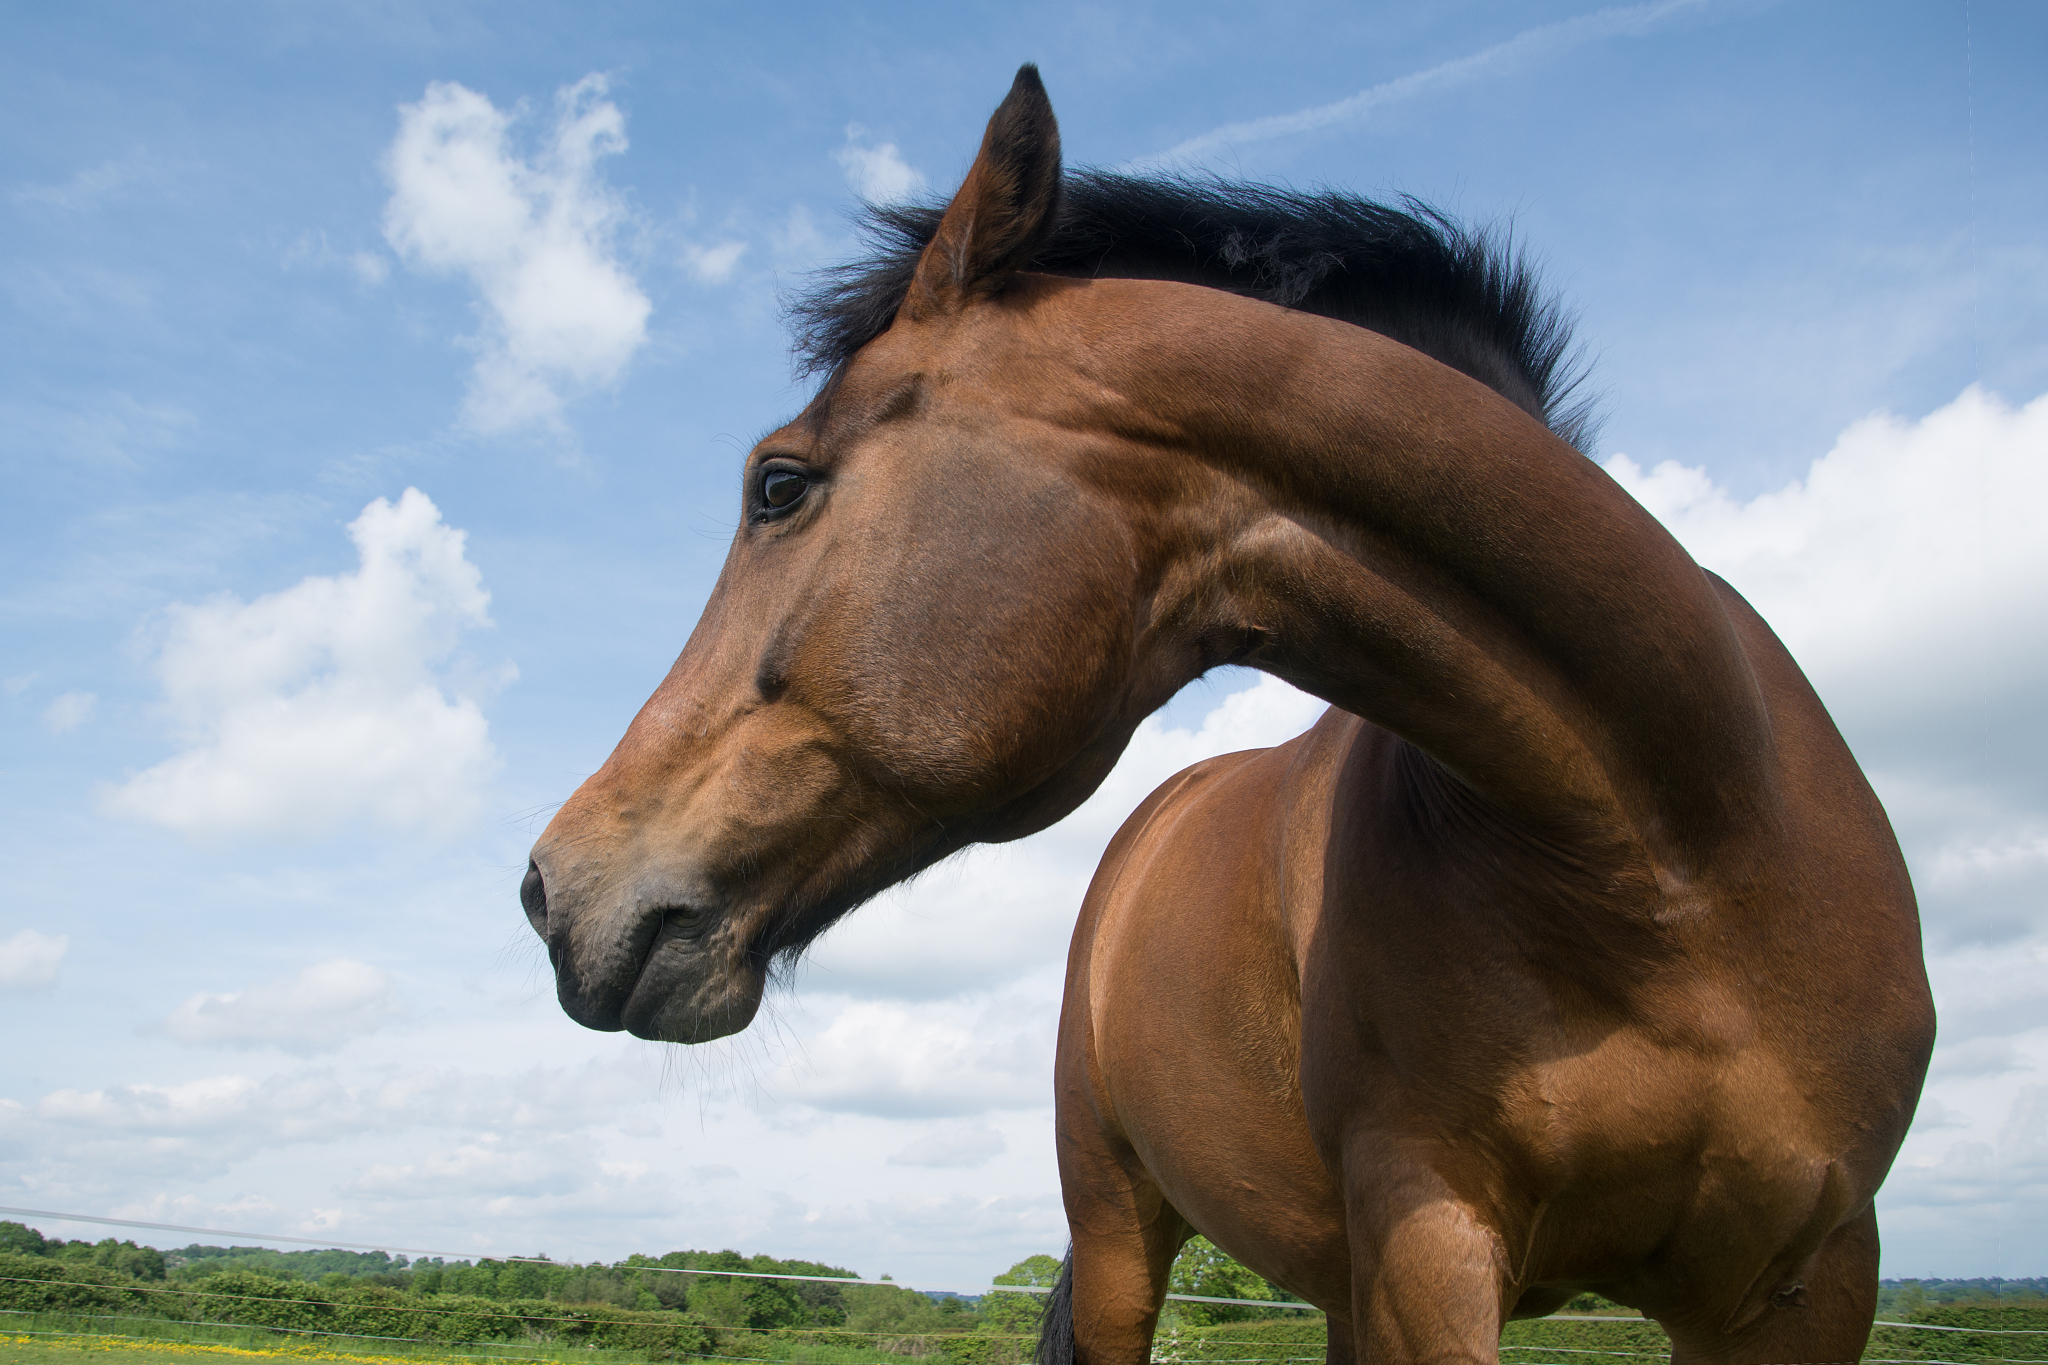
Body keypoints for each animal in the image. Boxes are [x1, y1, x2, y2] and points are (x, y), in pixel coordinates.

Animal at [520, 66, 1935, 1365]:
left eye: (778, 485)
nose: (550, 887)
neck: (1675, 849)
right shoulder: (1429, 1245)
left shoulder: (1810, 1279)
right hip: (1118, 1230)